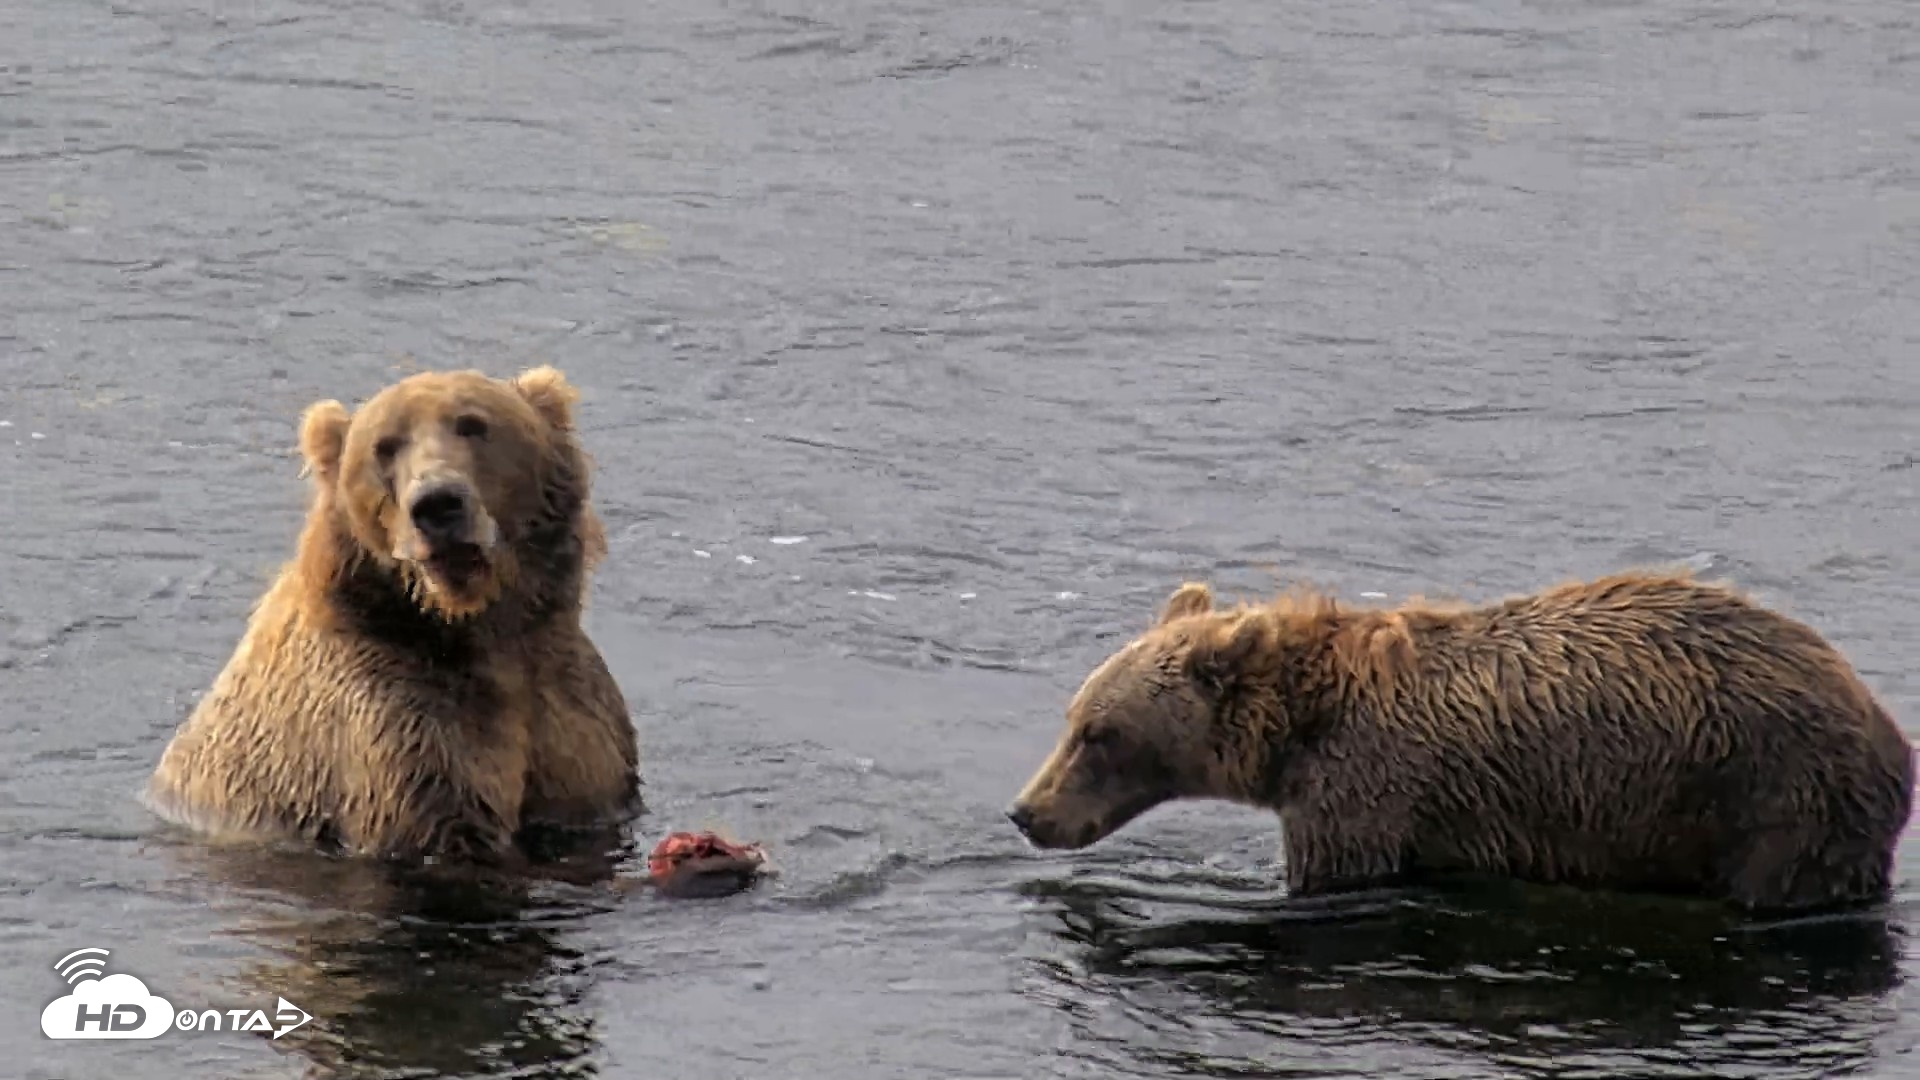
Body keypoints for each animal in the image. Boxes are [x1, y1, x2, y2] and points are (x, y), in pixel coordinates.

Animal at [1006, 569, 1916, 914]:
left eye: (1100, 733)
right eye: (1073, 717)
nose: (1026, 811)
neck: (1297, 731)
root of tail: (1884, 721)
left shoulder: (1363, 793)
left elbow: (1336, 873)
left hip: (1776, 794)